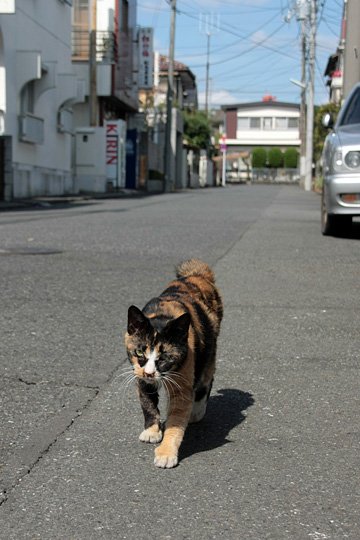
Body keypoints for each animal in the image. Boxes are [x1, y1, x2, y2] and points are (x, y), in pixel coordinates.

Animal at [125, 260, 224, 466]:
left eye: (164, 357)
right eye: (139, 351)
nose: (149, 373)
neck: (162, 317)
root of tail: (196, 275)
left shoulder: (183, 382)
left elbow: (176, 421)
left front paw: (166, 453)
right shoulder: (140, 375)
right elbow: (147, 403)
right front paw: (151, 431)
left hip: (210, 348)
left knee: (206, 378)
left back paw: (197, 411)